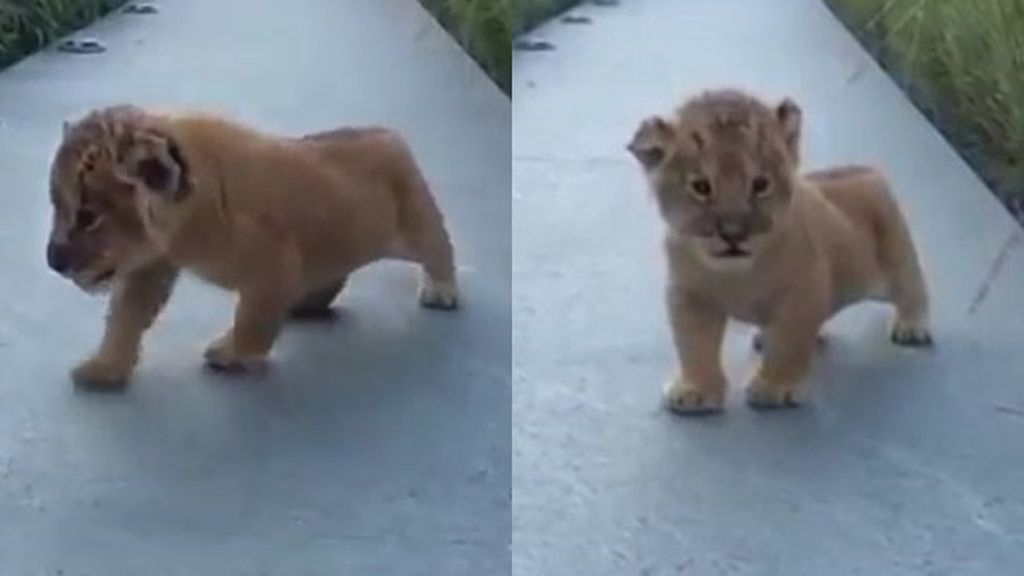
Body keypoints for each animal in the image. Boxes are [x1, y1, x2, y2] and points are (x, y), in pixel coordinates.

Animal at [47, 105, 459, 387]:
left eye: (87, 215)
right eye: (57, 205)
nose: (53, 262)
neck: (183, 221)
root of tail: (388, 133)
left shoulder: (275, 263)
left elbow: (251, 320)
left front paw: (230, 353)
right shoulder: (151, 267)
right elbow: (125, 319)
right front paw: (104, 368)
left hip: (413, 224)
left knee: (440, 246)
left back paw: (442, 289)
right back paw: (305, 305)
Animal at [627, 89, 931, 414]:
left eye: (760, 184)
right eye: (701, 187)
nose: (733, 234)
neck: (735, 274)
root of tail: (862, 170)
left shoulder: (800, 293)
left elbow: (787, 344)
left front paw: (773, 389)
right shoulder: (689, 296)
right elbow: (694, 347)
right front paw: (695, 391)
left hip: (895, 253)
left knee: (912, 287)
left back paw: (912, 327)